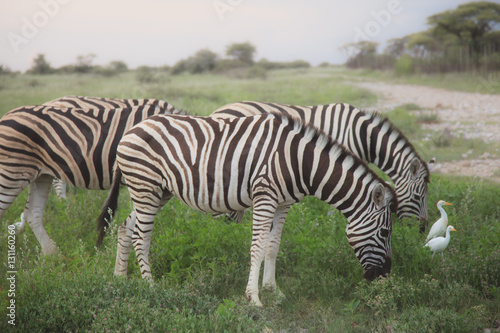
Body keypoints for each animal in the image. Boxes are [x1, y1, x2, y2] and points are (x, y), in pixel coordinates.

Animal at [96, 112, 394, 306]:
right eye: (386, 233)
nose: (384, 276)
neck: (301, 162)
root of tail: (130, 130)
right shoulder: (265, 196)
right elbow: (258, 247)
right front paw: (254, 298)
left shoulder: (284, 204)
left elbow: (273, 246)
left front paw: (273, 290)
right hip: (145, 187)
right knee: (141, 236)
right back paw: (151, 288)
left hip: (157, 191)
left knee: (124, 227)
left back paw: (119, 280)